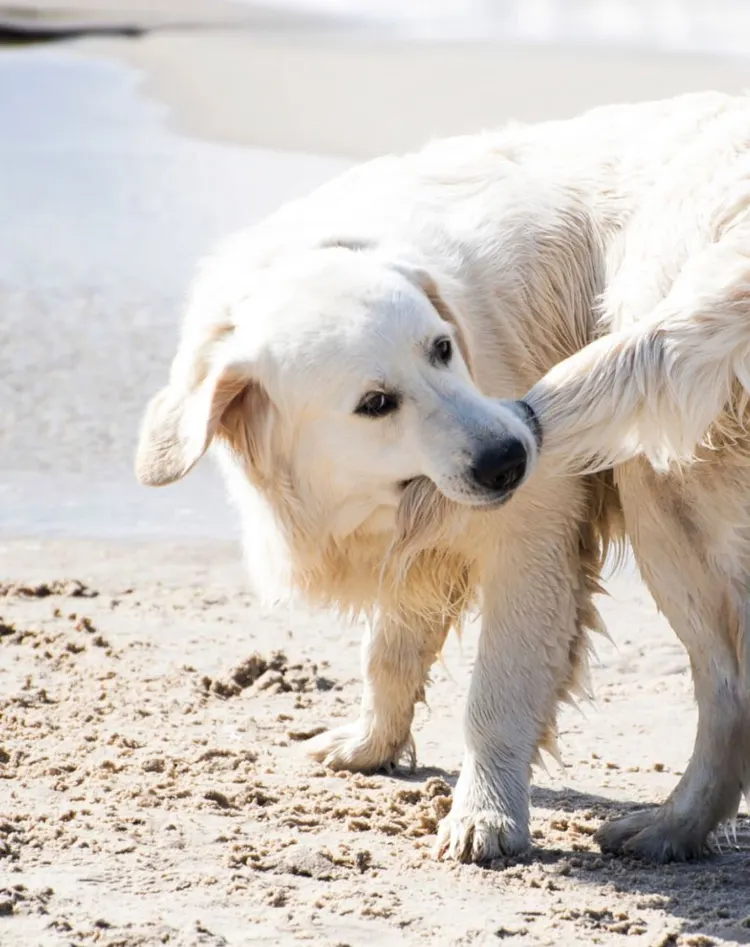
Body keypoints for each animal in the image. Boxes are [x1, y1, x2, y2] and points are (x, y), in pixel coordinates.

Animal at [135, 92, 750, 864]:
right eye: (375, 403)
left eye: (442, 348)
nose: (512, 456)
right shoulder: (413, 539)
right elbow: (388, 652)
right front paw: (369, 744)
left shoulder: (533, 538)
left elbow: (496, 695)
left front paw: (486, 816)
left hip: (663, 491)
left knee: (728, 689)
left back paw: (672, 825)